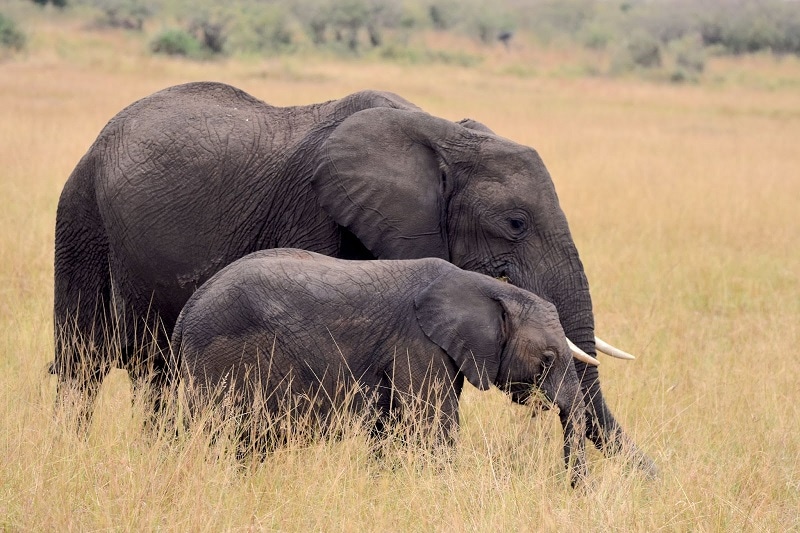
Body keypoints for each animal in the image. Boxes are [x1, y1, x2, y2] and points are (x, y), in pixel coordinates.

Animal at [172, 247, 596, 484]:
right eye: (546, 360)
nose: (573, 491)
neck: (485, 287)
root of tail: (187, 312)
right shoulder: (417, 343)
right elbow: (433, 426)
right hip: (224, 361)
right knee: (225, 433)